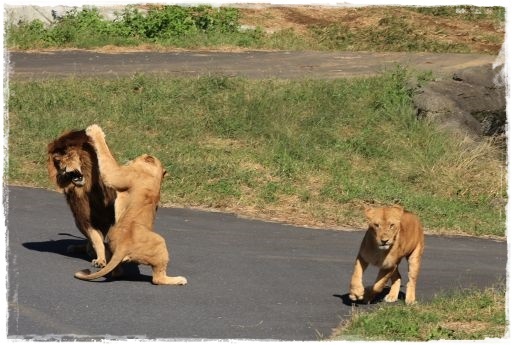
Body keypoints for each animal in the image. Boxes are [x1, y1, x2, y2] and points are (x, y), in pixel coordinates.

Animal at [47, 129, 116, 266]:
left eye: (70, 157)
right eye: (59, 163)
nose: (64, 170)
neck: (88, 186)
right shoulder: (83, 216)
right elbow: (95, 238)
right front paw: (100, 259)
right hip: (78, 222)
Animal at [74, 123, 188, 284]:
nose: (132, 158)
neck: (154, 175)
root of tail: (123, 246)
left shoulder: (117, 174)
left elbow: (105, 155)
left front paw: (95, 131)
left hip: (160, 242)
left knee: (157, 279)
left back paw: (179, 279)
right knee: (119, 273)